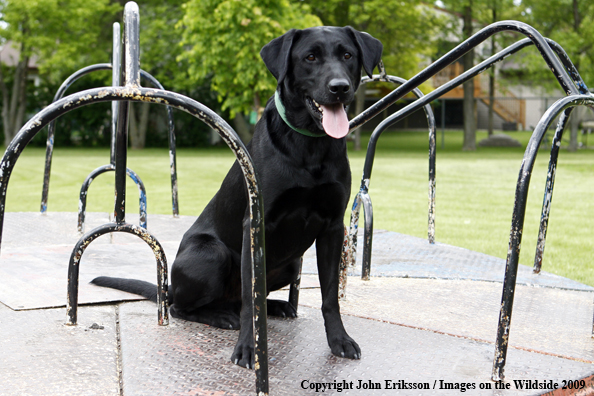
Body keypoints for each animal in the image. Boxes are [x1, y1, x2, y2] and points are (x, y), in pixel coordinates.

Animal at [90, 27, 382, 368]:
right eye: (310, 57)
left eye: (347, 55)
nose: (340, 88)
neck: (309, 145)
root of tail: (171, 287)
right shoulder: (255, 225)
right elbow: (249, 299)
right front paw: (248, 349)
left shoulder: (333, 228)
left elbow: (330, 296)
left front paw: (340, 340)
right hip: (211, 254)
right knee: (184, 307)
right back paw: (221, 316)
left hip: (292, 264)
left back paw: (276, 307)